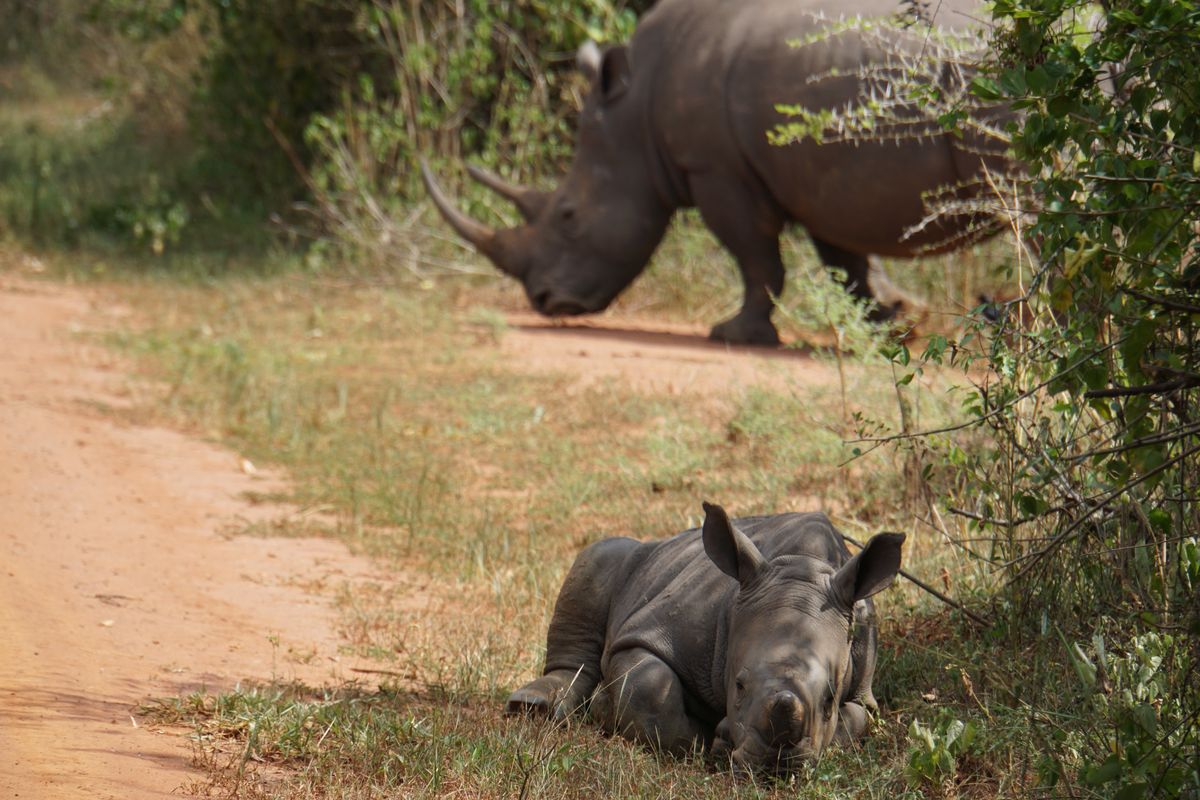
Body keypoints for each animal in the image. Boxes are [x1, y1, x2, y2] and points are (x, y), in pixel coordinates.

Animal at [423, 0, 1008, 346]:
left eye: (567, 215)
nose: (546, 303)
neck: (634, 113)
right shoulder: (818, 168)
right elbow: (845, 260)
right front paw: (896, 321)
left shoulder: (716, 168)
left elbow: (755, 257)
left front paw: (732, 334)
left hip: (989, 84)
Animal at [506, 502, 905, 774]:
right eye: (739, 686)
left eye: (829, 700)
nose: (775, 765)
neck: (802, 565)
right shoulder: (650, 634)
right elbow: (649, 688)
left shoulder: (864, 678)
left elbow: (858, 720)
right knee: (600, 554)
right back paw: (534, 707)